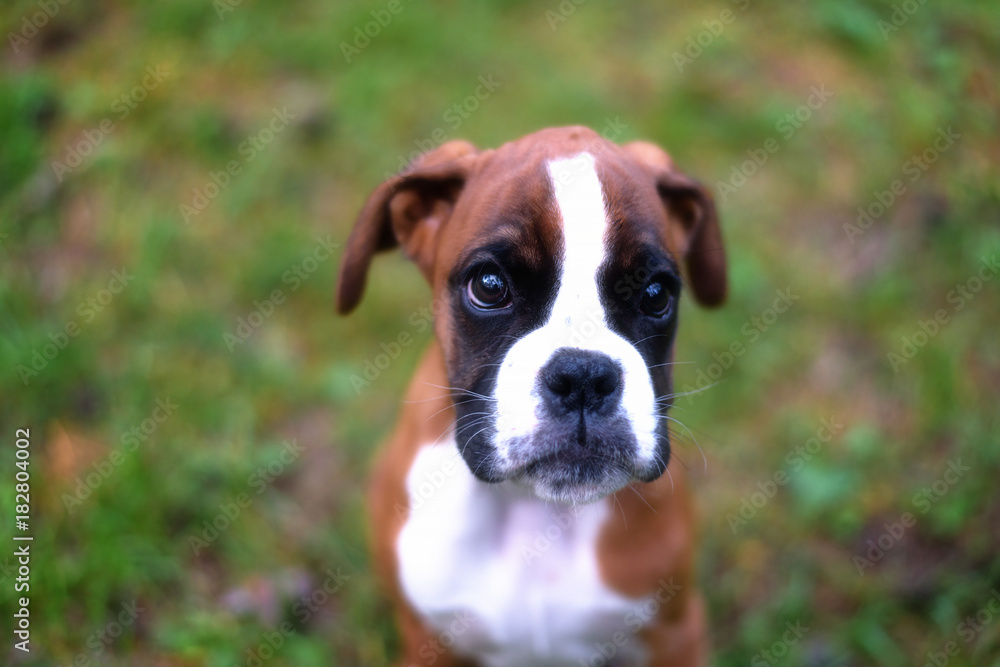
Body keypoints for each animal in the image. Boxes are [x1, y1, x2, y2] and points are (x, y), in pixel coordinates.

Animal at [336, 126, 728, 667]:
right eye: (489, 285)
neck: (535, 512)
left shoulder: (677, 632)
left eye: (655, 293)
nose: (583, 376)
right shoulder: (427, 641)